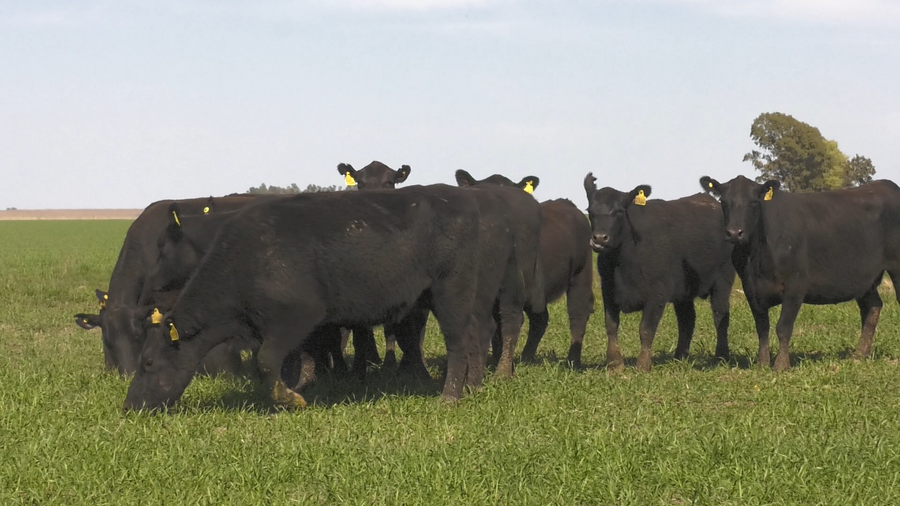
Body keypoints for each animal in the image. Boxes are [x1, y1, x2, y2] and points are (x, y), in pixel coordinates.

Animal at [123, 184, 538, 411]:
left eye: (147, 362)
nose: (129, 407)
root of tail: (461, 199)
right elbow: (301, 356)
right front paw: (301, 387)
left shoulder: (297, 316)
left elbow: (267, 360)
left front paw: (290, 398)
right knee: (473, 337)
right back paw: (474, 387)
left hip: (452, 292)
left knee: (461, 340)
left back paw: (451, 396)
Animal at [455, 169, 595, 368]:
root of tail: (566, 203)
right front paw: (495, 360)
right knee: (540, 319)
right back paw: (527, 358)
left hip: (580, 274)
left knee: (578, 313)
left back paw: (573, 361)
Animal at [584, 173, 734, 371]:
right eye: (590, 211)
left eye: (619, 212)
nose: (600, 238)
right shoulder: (608, 290)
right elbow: (611, 325)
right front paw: (615, 363)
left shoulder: (658, 293)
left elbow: (646, 329)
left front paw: (643, 365)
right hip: (683, 291)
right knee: (687, 320)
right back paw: (680, 357)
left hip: (723, 279)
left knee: (720, 314)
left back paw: (721, 357)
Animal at [699, 175, 900, 370]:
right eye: (723, 202)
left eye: (754, 202)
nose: (735, 233)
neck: (755, 259)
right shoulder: (750, 288)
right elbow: (762, 327)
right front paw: (762, 363)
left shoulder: (796, 285)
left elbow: (783, 328)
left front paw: (781, 366)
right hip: (863, 279)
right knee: (873, 307)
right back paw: (859, 355)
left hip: (895, 268)